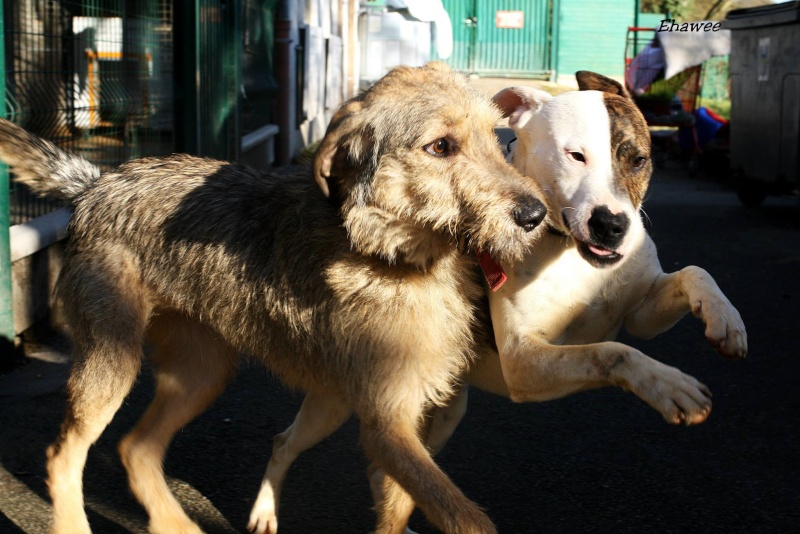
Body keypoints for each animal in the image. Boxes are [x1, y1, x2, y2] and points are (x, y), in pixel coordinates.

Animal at [247, 72, 748, 534]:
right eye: (575, 155)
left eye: (638, 159)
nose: (611, 225)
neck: (569, 253)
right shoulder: (524, 362)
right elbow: (611, 351)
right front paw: (669, 386)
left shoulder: (640, 312)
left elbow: (693, 274)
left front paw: (726, 322)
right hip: (335, 404)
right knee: (284, 443)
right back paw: (263, 513)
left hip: (440, 412)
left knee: (390, 472)